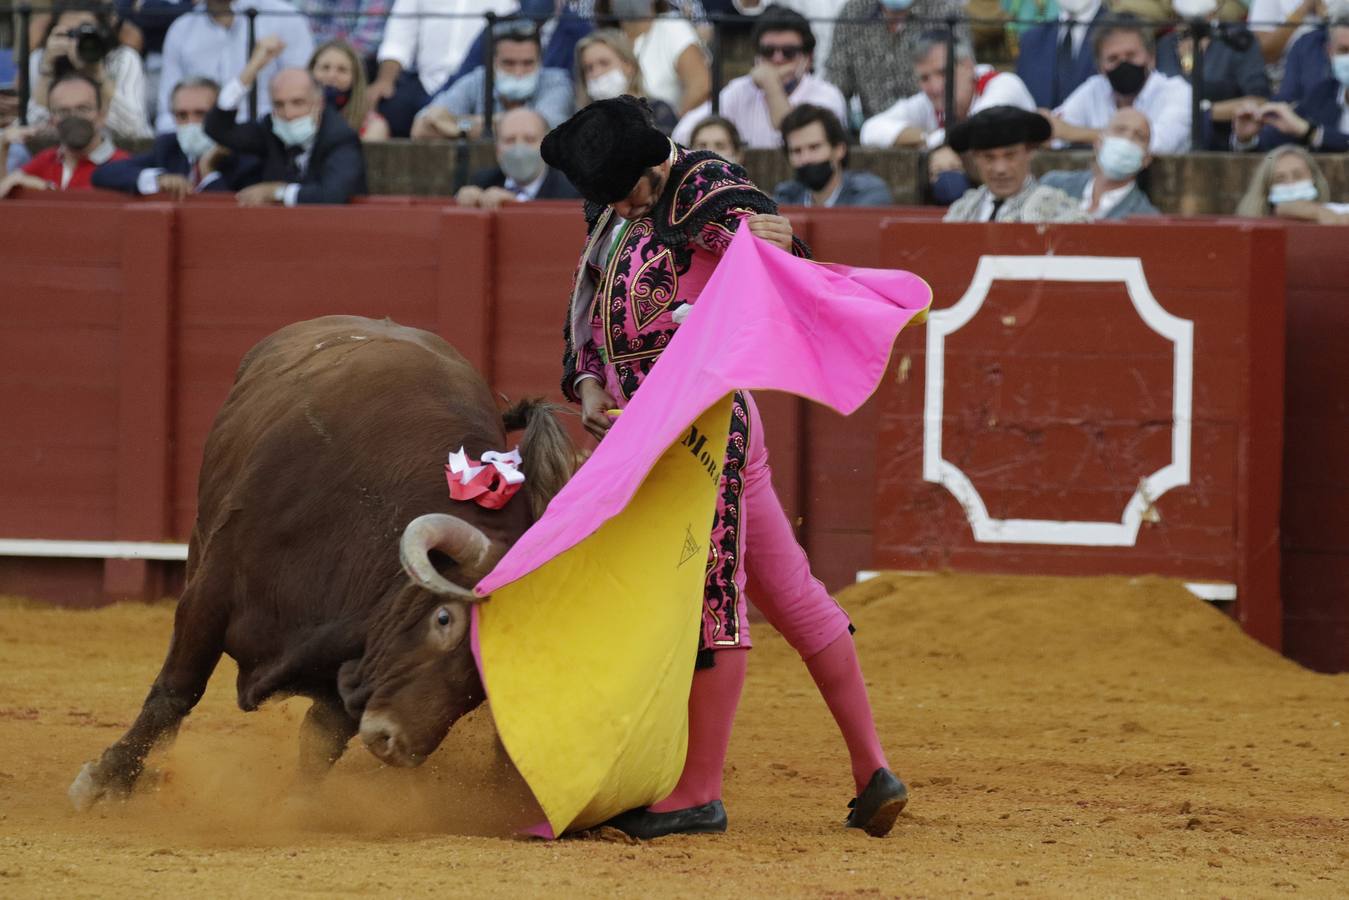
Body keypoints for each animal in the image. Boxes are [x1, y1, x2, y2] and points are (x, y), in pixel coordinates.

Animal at [68, 315, 574, 809]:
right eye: (444, 618)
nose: (395, 744)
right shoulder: (211, 592)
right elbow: (177, 689)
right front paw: (108, 781)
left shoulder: (355, 654)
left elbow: (321, 739)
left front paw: (297, 808)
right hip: (199, 538)